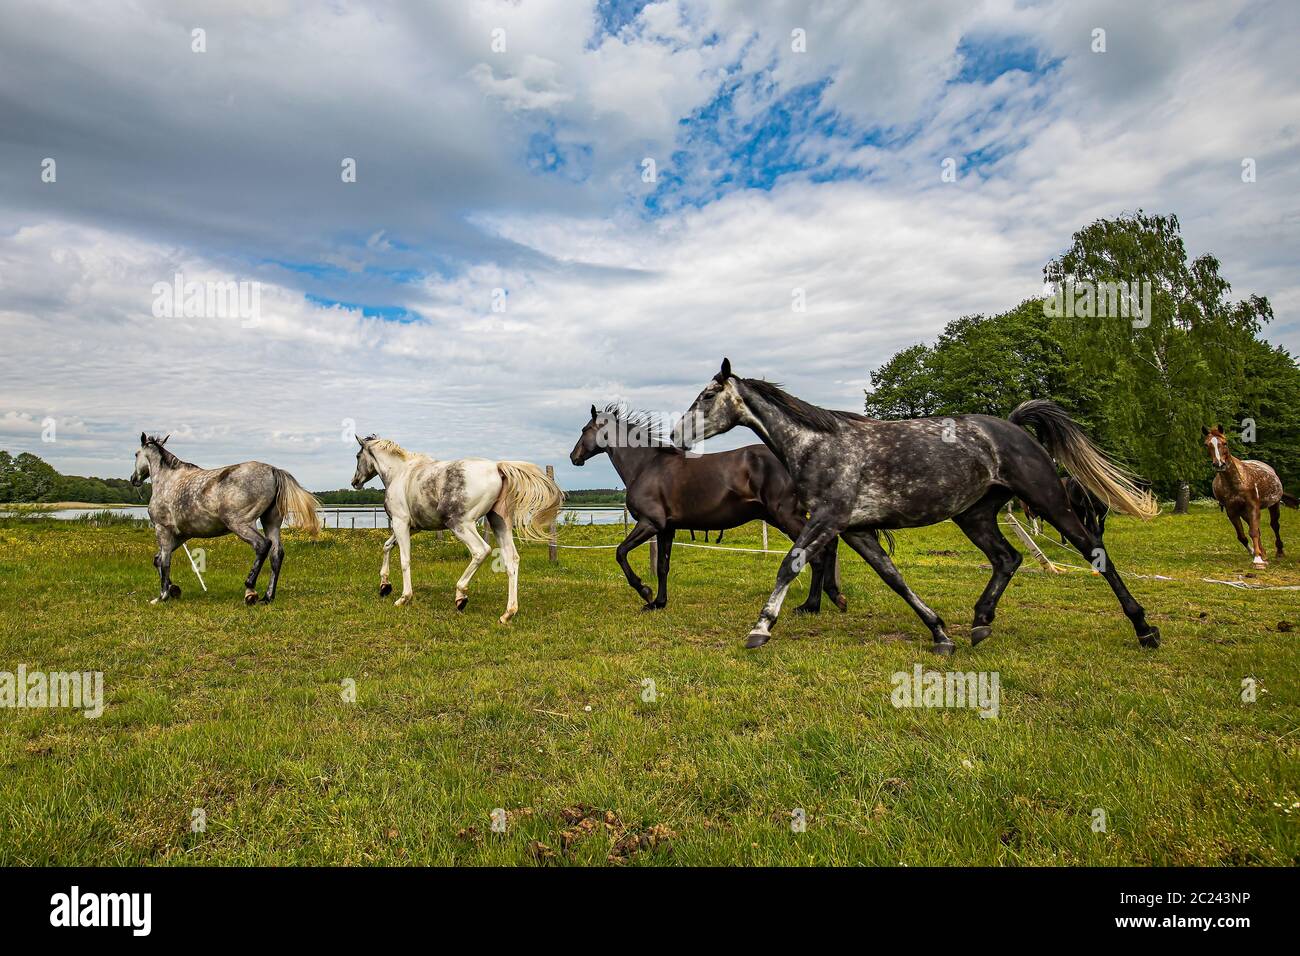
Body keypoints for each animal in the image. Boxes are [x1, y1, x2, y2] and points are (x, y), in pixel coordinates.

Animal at [130, 433, 321, 604]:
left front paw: (162, 595)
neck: (168, 481)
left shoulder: (162, 529)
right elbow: (158, 559)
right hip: (270, 522)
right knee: (276, 554)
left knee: (262, 545)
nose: (134, 479)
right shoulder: (181, 535)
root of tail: (273, 471)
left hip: (239, 523)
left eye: (136, 454)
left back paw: (250, 590)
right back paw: (267, 597)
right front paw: (173, 589)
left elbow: (164, 561)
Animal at [351, 434, 564, 624]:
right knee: (512, 560)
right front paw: (384, 586)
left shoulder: (400, 523)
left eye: (358, 456)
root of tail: (496, 467)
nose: (355, 482)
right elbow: (387, 546)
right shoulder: (412, 527)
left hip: (460, 524)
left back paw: (461, 596)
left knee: (481, 551)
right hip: (499, 523)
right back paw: (507, 614)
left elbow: (404, 559)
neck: (400, 473)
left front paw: (403, 598)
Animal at [569, 404, 845, 613]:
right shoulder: (667, 529)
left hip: (785, 515)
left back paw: (811, 605)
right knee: (829, 544)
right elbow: (662, 567)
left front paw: (645, 592)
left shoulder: (650, 523)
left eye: (584, 429)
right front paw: (658, 602)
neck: (646, 465)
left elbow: (621, 552)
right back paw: (834, 596)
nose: (574, 457)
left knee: (817, 553)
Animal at [674, 359, 1160, 654]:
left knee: (1093, 550)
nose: (677, 435)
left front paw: (761, 628)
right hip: (975, 515)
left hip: (1050, 501)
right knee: (1008, 558)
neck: (819, 445)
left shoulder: (828, 520)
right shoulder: (855, 529)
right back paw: (980, 622)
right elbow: (894, 577)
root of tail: (1013, 427)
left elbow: (789, 565)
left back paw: (1144, 628)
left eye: (707, 396)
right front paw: (940, 632)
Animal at [1202, 425, 1297, 566]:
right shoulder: (1232, 511)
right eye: (1207, 445)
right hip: (1244, 512)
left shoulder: (1253, 506)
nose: (1219, 464)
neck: (1237, 482)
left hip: (1273, 505)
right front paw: (1257, 554)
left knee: (1274, 525)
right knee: (1258, 529)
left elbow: (1253, 532)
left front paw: (1257, 558)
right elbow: (1243, 536)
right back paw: (1264, 553)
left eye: (1225, 443)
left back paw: (1279, 552)